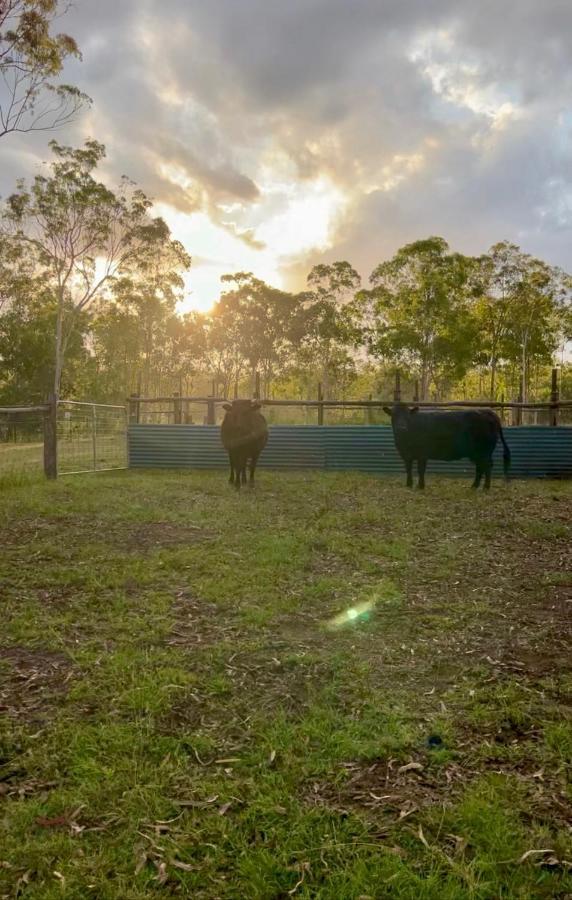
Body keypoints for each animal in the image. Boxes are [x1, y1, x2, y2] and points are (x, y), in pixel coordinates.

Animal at [382, 402, 512, 488]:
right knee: (480, 467)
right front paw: (409, 484)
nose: (401, 428)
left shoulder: (422, 454)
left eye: (408, 416)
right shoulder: (406, 455)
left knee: (487, 466)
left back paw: (485, 487)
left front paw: (420, 486)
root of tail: (488, 412)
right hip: (477, 454)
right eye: (393, 415)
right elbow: (408, 469)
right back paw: (474, 486)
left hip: (483, 452)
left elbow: (420, 470)